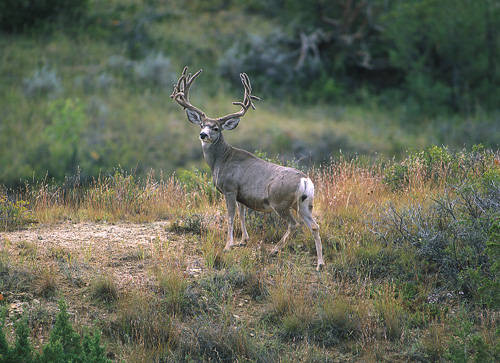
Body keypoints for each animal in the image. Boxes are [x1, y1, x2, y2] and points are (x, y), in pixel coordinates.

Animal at [170, 67, 326, 272]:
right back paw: (320, 263)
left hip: (280, 201)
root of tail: (305, 180)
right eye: (202, 124)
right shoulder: (241, 194)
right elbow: (242, 215)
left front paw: (228, 245)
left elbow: (230, 216)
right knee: (314, 226)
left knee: (294, 224)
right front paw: (243, 241)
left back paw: (275, 250)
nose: (203, 134)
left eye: (216, 128)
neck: (221, 160)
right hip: (305, 204)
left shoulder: (229, 188)